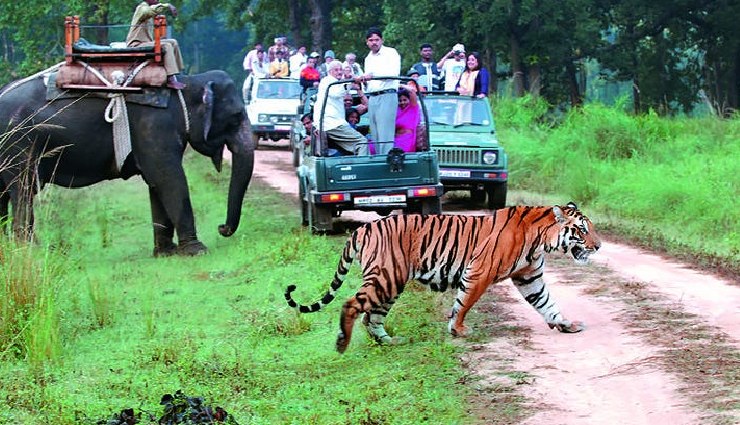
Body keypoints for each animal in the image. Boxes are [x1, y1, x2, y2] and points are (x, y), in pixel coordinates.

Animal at [0, 69, 254, 255]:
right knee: (23, 189)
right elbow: (169, 178)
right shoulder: (154, 125)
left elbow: (156, 183)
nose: (222, 228)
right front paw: (197, 250)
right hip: (19, 143)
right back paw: (30, 251)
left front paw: (166, 252)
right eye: (236, 117)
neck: (187, 83)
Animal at [284, 201, 600, 352]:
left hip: (390, 283)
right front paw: (458, 330)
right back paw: (341, 343)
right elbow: (464, 303)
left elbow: (547, 303)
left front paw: (566, 324)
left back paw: (388, 342)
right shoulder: (478, 272)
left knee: (371, 317)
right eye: (582, 230)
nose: (598, 246)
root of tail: (363, 228)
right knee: (351, 305)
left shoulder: (529, 277)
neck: (541, 240)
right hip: (387, 277)